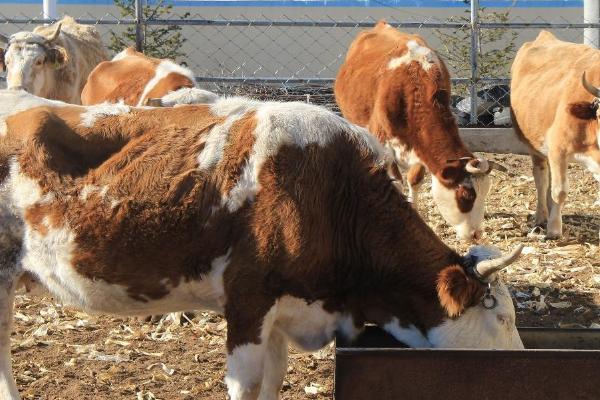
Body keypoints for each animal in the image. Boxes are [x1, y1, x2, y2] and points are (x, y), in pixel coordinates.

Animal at [336, 21, 504, 241]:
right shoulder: (383, 143)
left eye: (485, 193)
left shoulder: (420, 148)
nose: (476, 234)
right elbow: (395, 182)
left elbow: (414, 180)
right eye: (466, 196)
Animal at [510, 31, 600, 239]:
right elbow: (559, 191)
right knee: (542, 178)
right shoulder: (559, 148)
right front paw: (554, 229)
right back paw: (542, 217)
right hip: (534, 144)